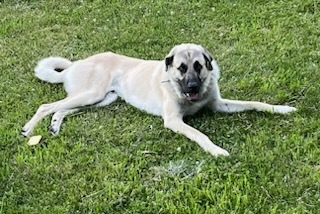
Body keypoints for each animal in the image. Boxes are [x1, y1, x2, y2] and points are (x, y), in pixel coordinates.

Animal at [21, 43, 298, 157]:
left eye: (199, 66)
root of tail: (74, 65)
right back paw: (29, 129)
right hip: (93, 94)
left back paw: (54, 126)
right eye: (181, 68)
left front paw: (282, 108)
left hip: (101, 99)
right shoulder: (174, 121)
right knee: (47, 106)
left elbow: (256, 103)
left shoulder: (220, 104)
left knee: (61, 109)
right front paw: (216, 151)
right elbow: (200, 135)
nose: (193, 87)